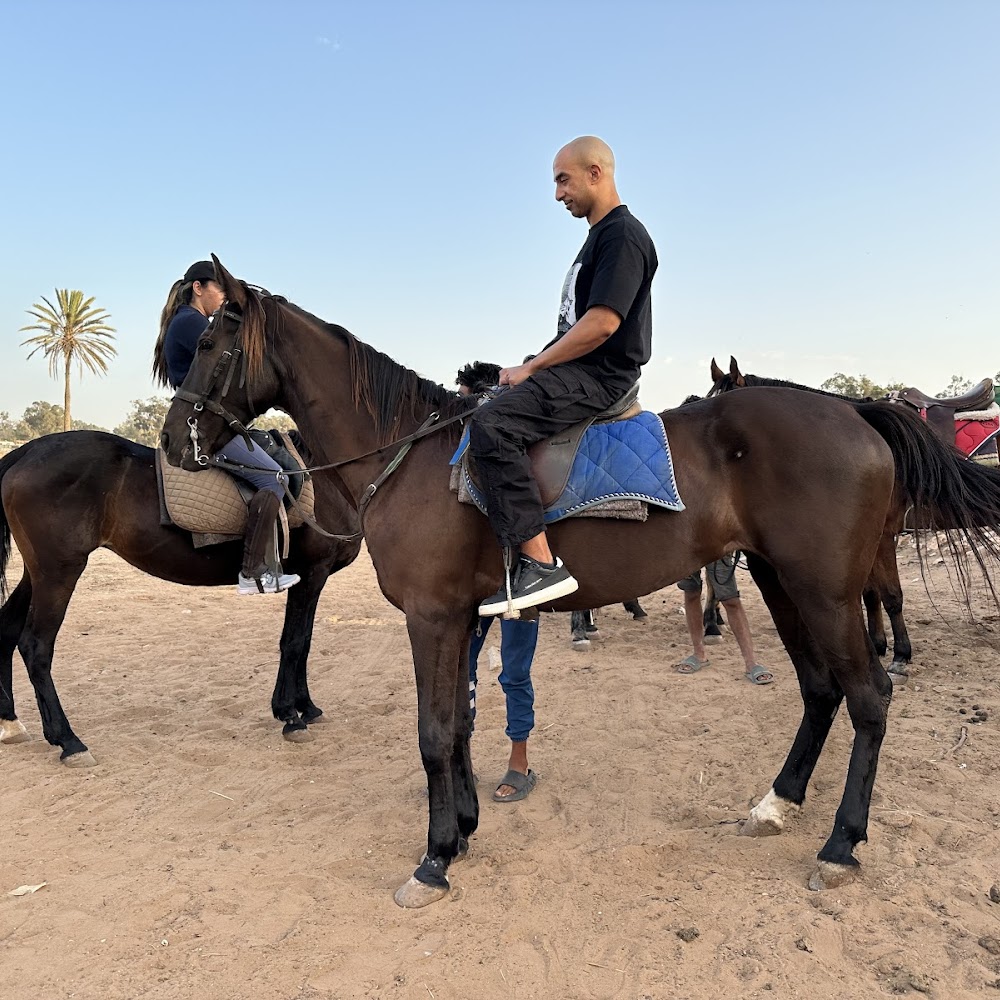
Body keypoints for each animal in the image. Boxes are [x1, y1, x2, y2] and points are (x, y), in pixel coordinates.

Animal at [0, 429, 362, 765]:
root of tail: (27, 451)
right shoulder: (312, 574)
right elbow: (295, 642)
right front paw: (289, 715)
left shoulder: (312, 578)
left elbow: (305, 642)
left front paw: (307, 707)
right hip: (58, 573)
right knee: (36, 646)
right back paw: (69, 741)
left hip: (39, 573)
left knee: (8, 628)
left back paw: (11, 722)